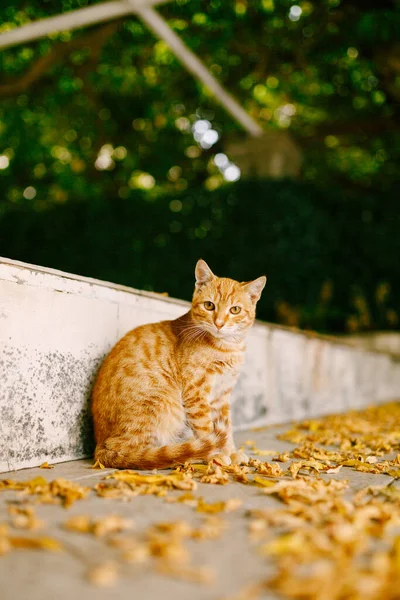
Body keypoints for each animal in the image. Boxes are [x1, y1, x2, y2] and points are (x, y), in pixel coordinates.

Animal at [91, 260, 266, 472]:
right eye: (209, 305)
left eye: (235, 310)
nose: (219, 323)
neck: (227, 348)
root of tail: (100, 446)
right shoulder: (196, 394)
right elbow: (206, 429)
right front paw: (217, 455)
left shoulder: (221, 396)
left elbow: (226, 428)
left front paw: (230, 451)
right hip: (162, 404)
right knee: (141, 455)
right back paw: (190, 456)